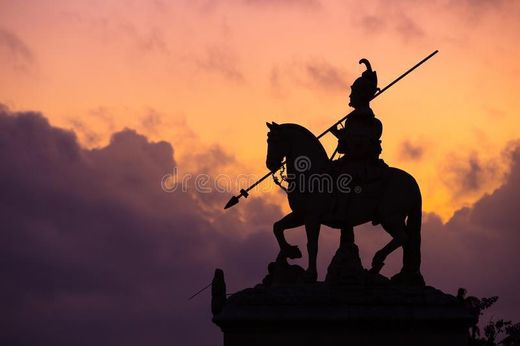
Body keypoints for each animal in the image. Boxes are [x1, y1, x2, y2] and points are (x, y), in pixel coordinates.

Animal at [264, 123, 422, 282]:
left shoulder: (312, 217)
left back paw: (378, 260)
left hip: (390, 217)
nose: (270, 164)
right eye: (268, 140)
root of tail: (413, 182)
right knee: (407, 241)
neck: (312, 176)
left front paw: (310, 274)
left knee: (402, 237)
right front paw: (291, 251)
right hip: (396, 218)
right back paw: (403, 273)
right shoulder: (300, 215)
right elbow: (277, 227)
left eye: (274, 140)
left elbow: (312, 245)